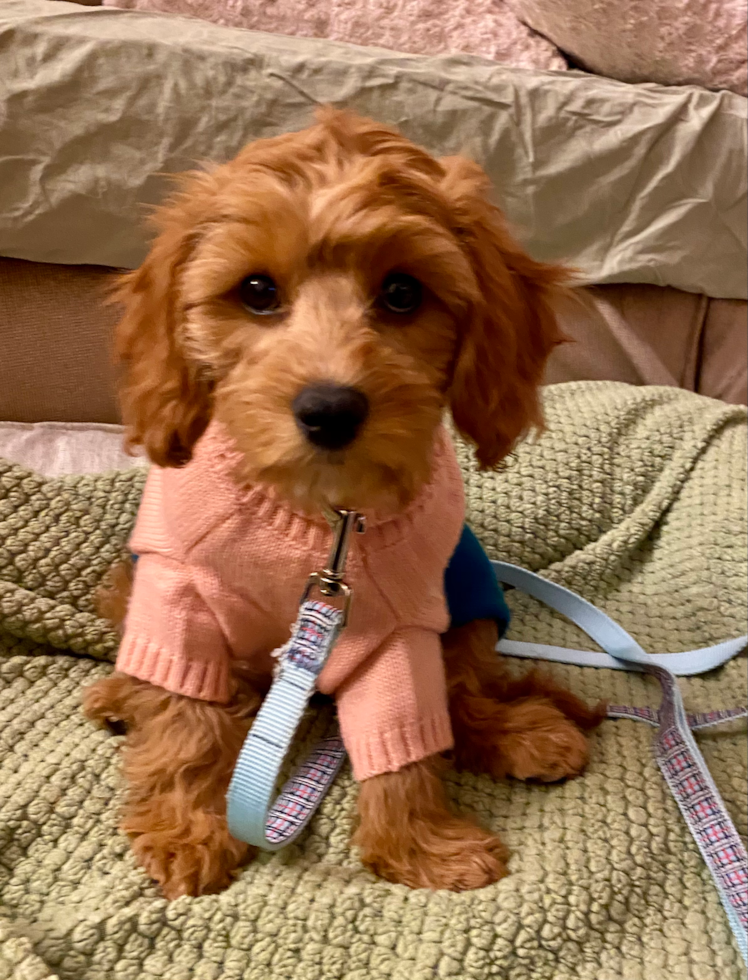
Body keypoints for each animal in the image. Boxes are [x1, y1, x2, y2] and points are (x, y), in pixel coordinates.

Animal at [84, 107, 604, 896]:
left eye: (403, 293)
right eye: (257, 290)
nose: (329, 409)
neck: (320, 518)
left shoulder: (401, 632)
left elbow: (406, 734)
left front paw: (419, 842)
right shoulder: (178, 598)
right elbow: (185, 714)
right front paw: (184, 825)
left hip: (471, 603)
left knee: (466, 688)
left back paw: (519, 732)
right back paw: (123, 696)